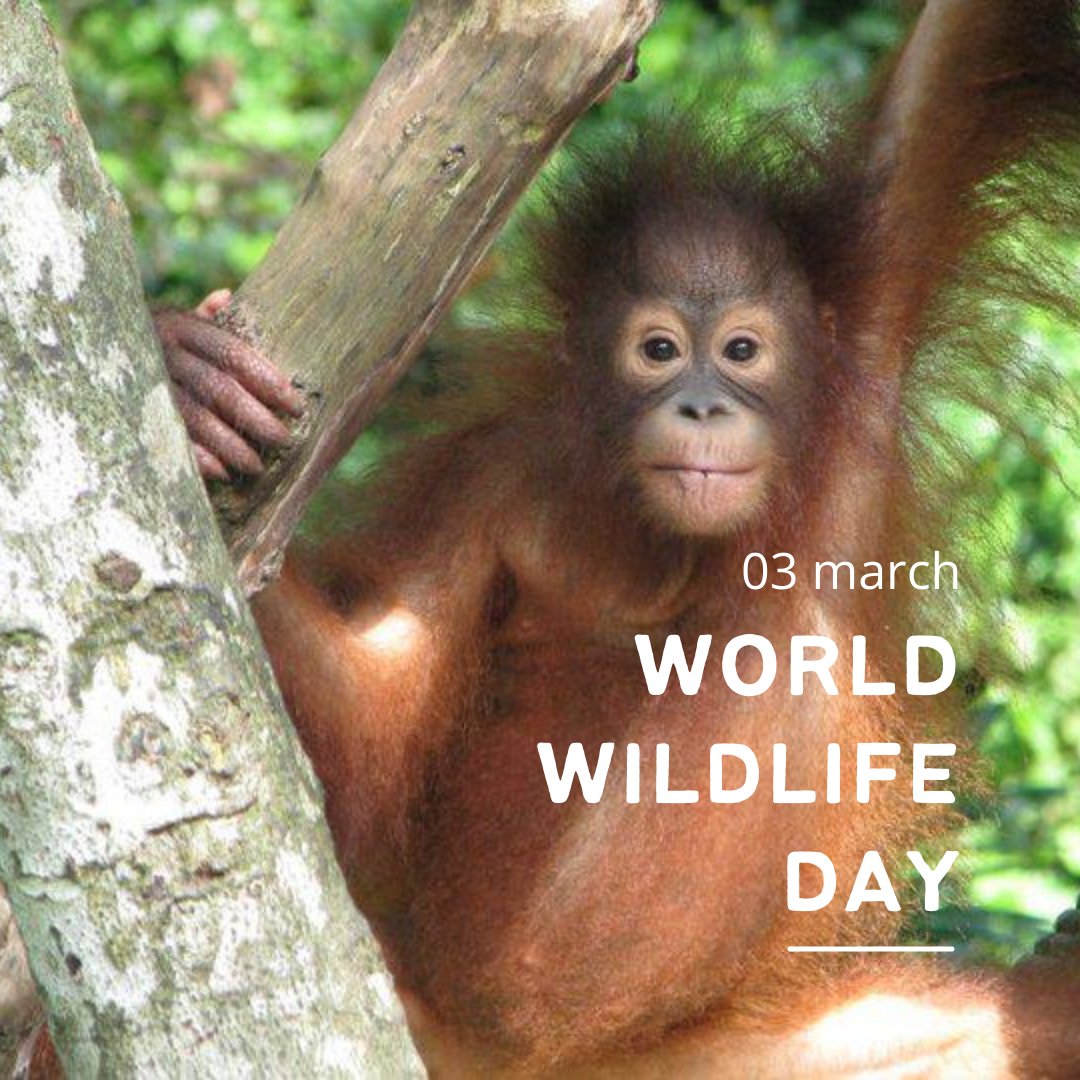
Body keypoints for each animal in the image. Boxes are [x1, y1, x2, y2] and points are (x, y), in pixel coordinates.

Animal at [33, 2, 1080, 1077]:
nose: (703, 406)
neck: (672, 546)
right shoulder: (488, 483)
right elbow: (382, 711)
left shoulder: (868, 325)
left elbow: (951, 68)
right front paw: (189, 374)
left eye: (743, 350)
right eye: (658, 350)